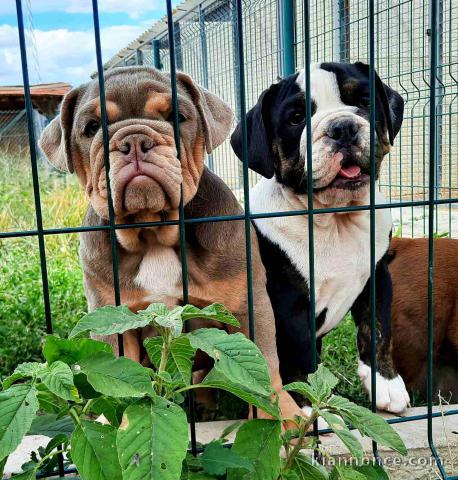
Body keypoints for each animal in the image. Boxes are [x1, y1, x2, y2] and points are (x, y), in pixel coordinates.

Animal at [39, 66, 300, 420]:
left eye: (178, 116)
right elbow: (114, 372)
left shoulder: (247, 304)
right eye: (91, 128)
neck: (152, 231)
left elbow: (264, 364)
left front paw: (280, 417)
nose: (135, 140)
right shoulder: (110, 316)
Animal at [231, 61, 410, 412]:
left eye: (364, 101)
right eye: (296, 118)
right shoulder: (288, 306)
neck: (336, 220)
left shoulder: (378, 276)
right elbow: (298, 358)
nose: (343, 128)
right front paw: (305, 410)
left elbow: (379, 329)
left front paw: (385, 382)